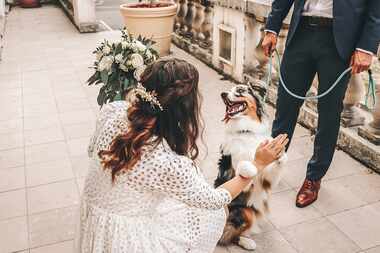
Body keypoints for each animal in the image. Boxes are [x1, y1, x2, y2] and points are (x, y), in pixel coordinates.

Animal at [215, 83, 286, 251]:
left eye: (240, 90)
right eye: (228, 91)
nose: (223, 94)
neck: (245, 131)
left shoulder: (268, 178)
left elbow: (276, 166)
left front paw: (281, 155)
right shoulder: (233, 167)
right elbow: (244, 165)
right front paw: (250, 168)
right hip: (243, 211)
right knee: (228, 234)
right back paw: (247, 242)